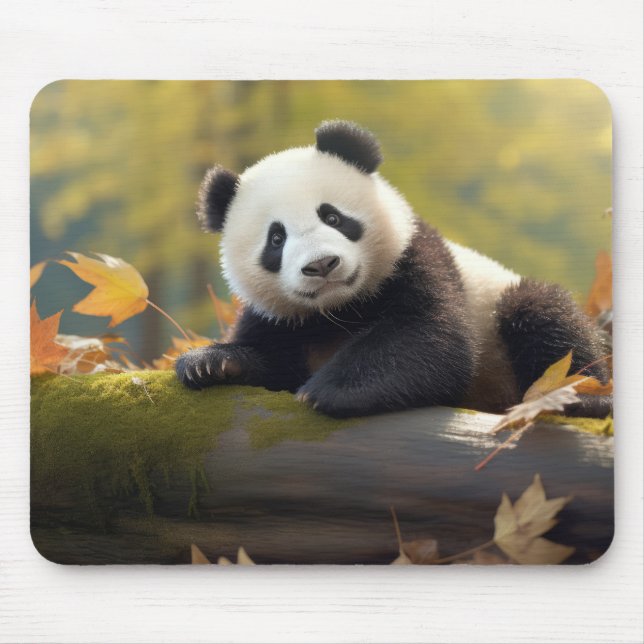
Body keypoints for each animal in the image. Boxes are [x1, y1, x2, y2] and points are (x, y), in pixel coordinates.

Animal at [176, 120, 611, 419]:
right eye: (276, 239)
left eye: (333, 217)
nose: (321, 265)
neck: (339, 310)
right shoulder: (278, 317)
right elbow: (272, 363)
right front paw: (211, 363)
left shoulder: (415, 259)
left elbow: (430, 337)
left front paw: (327, 390)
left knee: (548, 322)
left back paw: (581, 400)